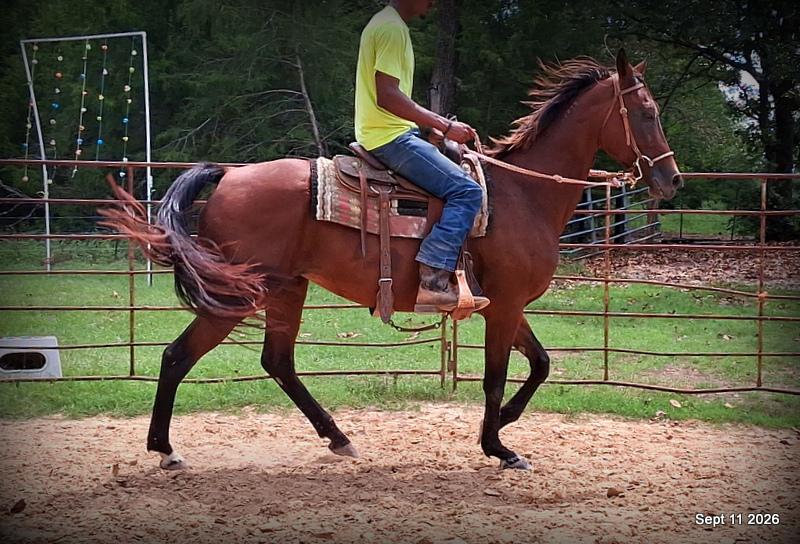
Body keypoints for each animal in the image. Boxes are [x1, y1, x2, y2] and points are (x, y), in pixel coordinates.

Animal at [101, 50, 682, 471]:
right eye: (647, 113)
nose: (671, 179)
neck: (524, 195)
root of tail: (229, 175)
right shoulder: (506, 305)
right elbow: (498, 376)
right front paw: (498, 446)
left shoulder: (506, 305)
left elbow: (539, 364)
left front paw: (505, 426)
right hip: (237, 294)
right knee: (178, 356)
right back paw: (165, 451)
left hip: (287, 287)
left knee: (278, 362)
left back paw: (339, 439)